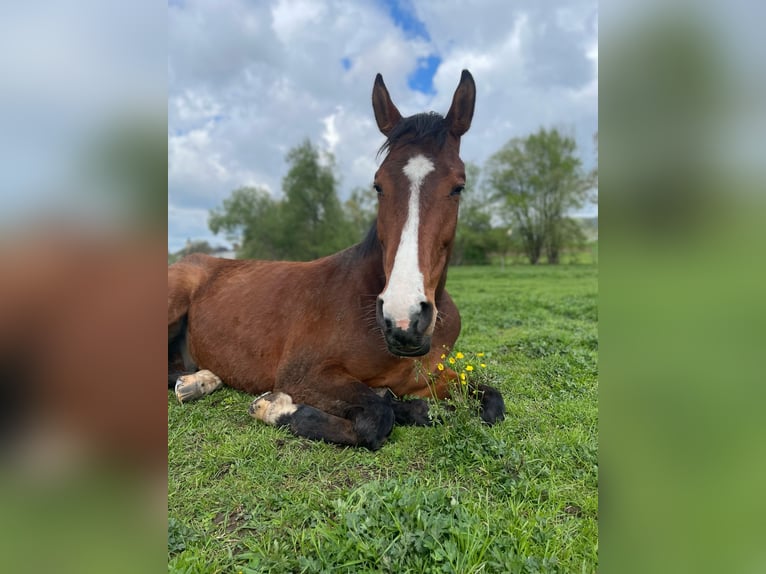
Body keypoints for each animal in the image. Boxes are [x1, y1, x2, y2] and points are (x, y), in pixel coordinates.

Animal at [167, 71, 504, 450]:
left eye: (458, 186)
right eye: (378, 185)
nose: (403, 320)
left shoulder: (429, 376)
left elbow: (491, 402)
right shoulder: (304, 374)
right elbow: (376, 418)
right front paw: (274, 407)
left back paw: (199, 381)